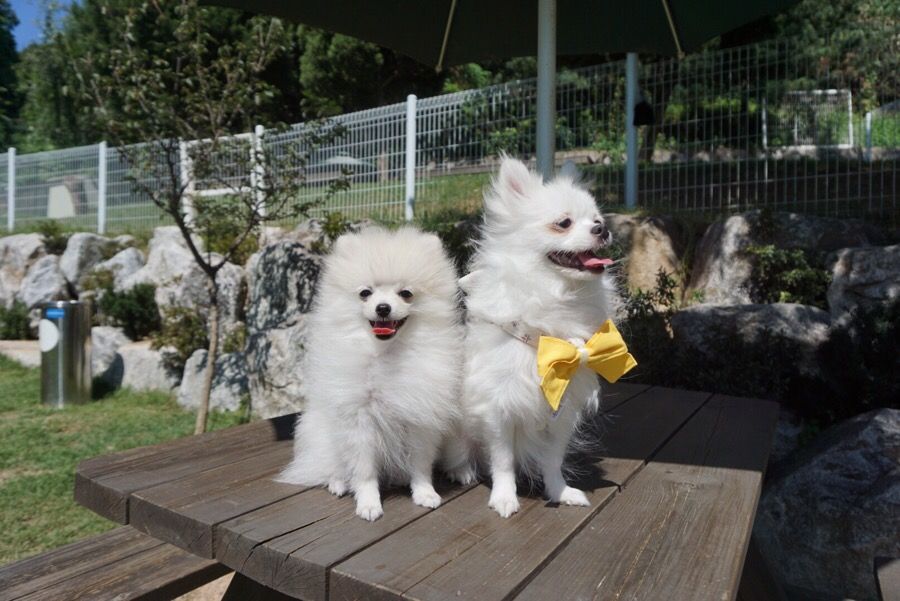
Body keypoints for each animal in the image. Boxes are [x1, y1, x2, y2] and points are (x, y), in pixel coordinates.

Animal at [280, 226, 464, 520]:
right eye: (365, 293)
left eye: (406, 293)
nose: (383, 308)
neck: (386, 354)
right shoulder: (359, 419)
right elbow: (364, 469)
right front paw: (368, 503)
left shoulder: (419, 417)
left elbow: (420, 464)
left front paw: (424, 493)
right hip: (323, 435)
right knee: (333, 465)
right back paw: (338, 483)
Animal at [446, 157, 628, 516]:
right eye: (564, 223)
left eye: (597, 220)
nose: (602, 230)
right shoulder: (498, 408)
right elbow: (503, 461)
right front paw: (504, 498)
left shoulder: (562, 412)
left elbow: (553, 460)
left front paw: (560, 491)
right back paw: (463, 471)